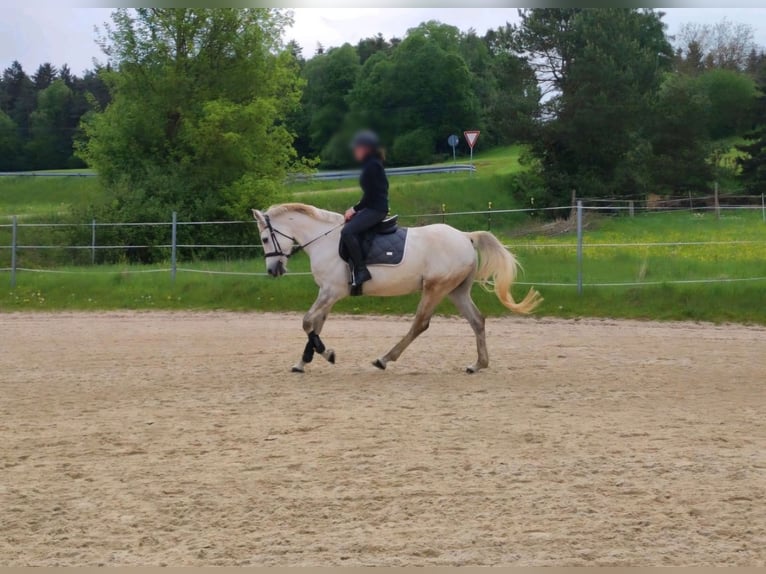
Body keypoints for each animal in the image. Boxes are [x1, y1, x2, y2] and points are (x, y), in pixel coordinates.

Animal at [250, 205, 540, 376]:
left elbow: (307, 322)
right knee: (477, 321)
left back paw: (384, 359)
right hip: (456, 291)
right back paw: (478, 364)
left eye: (264, 239)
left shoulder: (331, 292)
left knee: (420, 324)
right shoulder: (327, 294)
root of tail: (465, 236)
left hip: (435, 288)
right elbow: (316, 325)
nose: (273, 270)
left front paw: (326, 354)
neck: (325, 240)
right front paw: (303, 361)